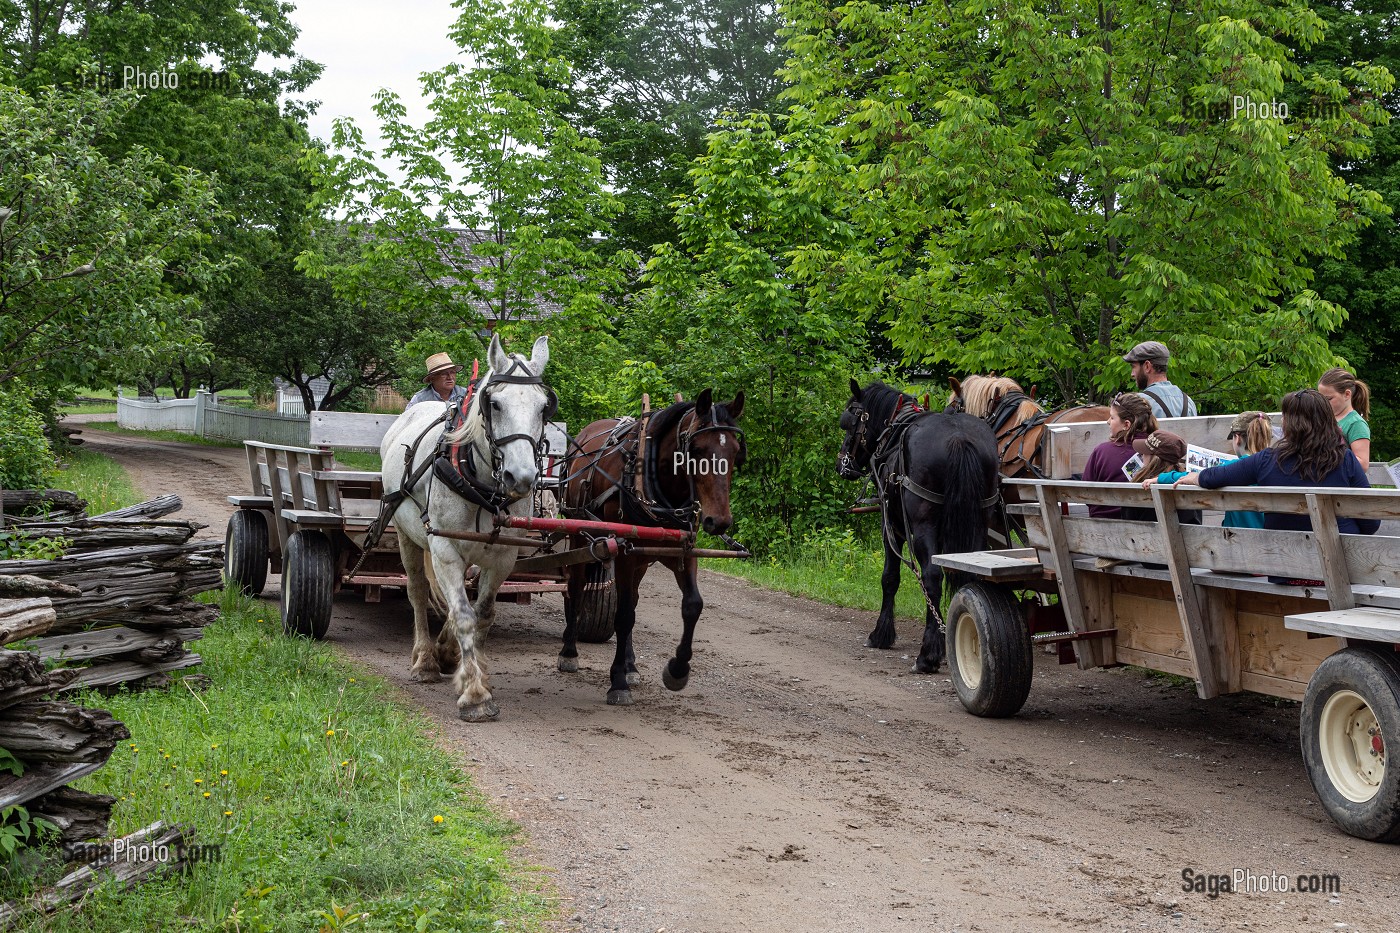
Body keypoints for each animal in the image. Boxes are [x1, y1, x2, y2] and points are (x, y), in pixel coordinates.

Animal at [383, 334, 562, 717]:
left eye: (544, 407)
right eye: (494, 404)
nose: (521, 477)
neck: (482, 487)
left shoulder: (503, 557)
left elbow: (482, 613)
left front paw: (468, 666)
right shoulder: (445, 549)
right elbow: (463, 614)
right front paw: (475, 694)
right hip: (407, 537)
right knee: (418, 591)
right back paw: (425, 660)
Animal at [554, 389, 744, 700]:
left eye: (736, 451)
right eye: (696, 449)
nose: (719, 521)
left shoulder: (682, 550)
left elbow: (693, 605)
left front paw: (677, 670)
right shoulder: (624, 553)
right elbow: (623, 615)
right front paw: (617, 681)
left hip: (641, 559)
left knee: (633, 598)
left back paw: (631, 666)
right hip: (579, 531)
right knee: (578, 587)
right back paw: (569, 651)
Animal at [834, 375, 1002, 669]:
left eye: (849, 421)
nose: (842, 464)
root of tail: (959, 438)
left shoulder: (890, 527)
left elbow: (890, 578)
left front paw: (881, 634)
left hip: (923, 527)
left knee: (932, 578)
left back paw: (927, 655)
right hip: (980, 522)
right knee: (968, 572)